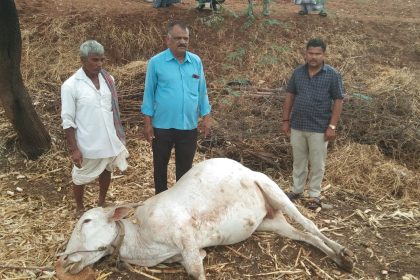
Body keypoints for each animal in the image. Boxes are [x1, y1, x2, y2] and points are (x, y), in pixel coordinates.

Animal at [59, 159, 352, 278]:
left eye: (86, 221)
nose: (64, 259)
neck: (141, 240)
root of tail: (246, 168)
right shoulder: (186, 252)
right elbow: (196, 263)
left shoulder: (185, 237)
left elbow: (196, 272)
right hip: (269, 222)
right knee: (301, 234)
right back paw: (340, 259)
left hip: (271, 188)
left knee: (309, 224)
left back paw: (342, 252)